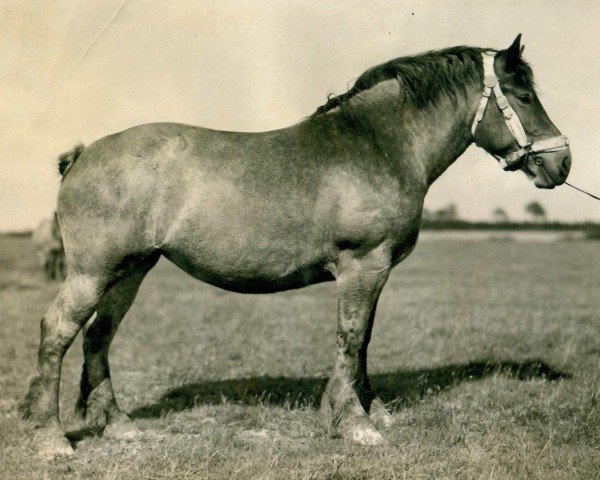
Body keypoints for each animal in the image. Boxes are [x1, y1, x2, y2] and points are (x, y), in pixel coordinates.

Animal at [18, 35, 572, 456]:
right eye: (523, 96)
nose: (561, 163)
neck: (377, 143)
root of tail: (83, 153)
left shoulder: (373, 273)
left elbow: (362, 340)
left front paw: (365, 412)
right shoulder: (364, 266)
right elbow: (351, 338)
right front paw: (356, 425)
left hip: (130, 271)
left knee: (98, 338)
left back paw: (117, 424)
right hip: (92, 273)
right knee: (57, 332)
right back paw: (50, 439)